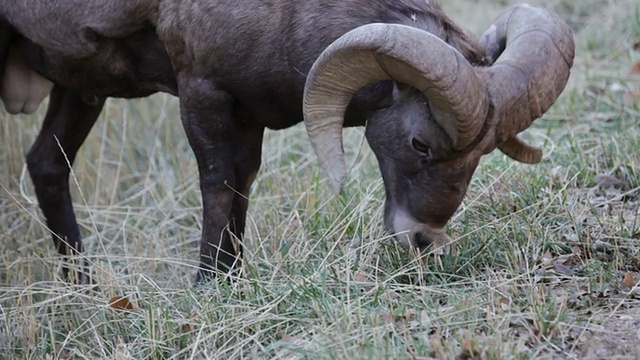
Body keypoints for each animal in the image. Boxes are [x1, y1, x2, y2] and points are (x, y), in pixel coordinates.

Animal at [1, 2, 576, 284]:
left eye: (481, 155)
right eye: (419, 144)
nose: (422, 241)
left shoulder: (247, 121)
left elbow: (239, 196)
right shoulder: (203, 96)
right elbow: (219, 191)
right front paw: (209, 286)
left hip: (82, 91)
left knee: (47, 167)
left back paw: (84, 288)